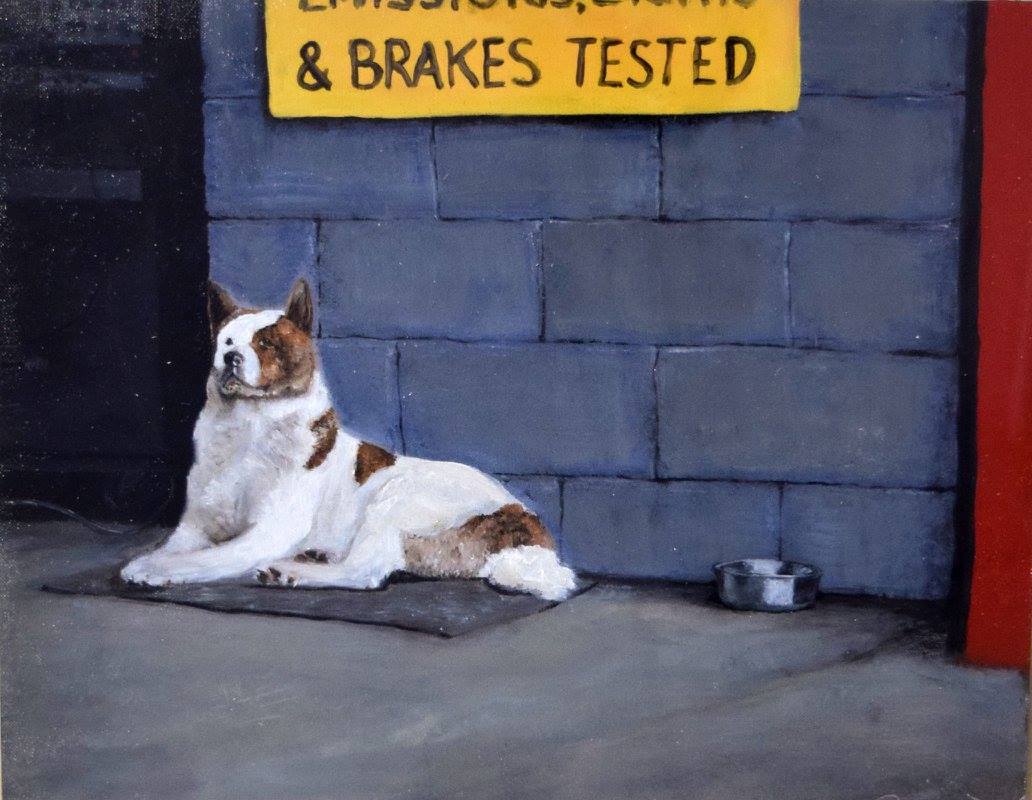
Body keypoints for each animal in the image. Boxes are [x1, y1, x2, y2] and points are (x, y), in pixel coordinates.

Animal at [120, 278, 577, 598]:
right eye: (226, 341)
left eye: (265, 343)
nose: (230, 358)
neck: (249, 428)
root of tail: (523, 517)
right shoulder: (195, 525)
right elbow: (177, 547)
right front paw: (154, 560)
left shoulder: (268, 532)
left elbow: (206, 558)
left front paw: (151, 570)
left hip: (395, 499)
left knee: (365, 572)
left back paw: (291, 571)